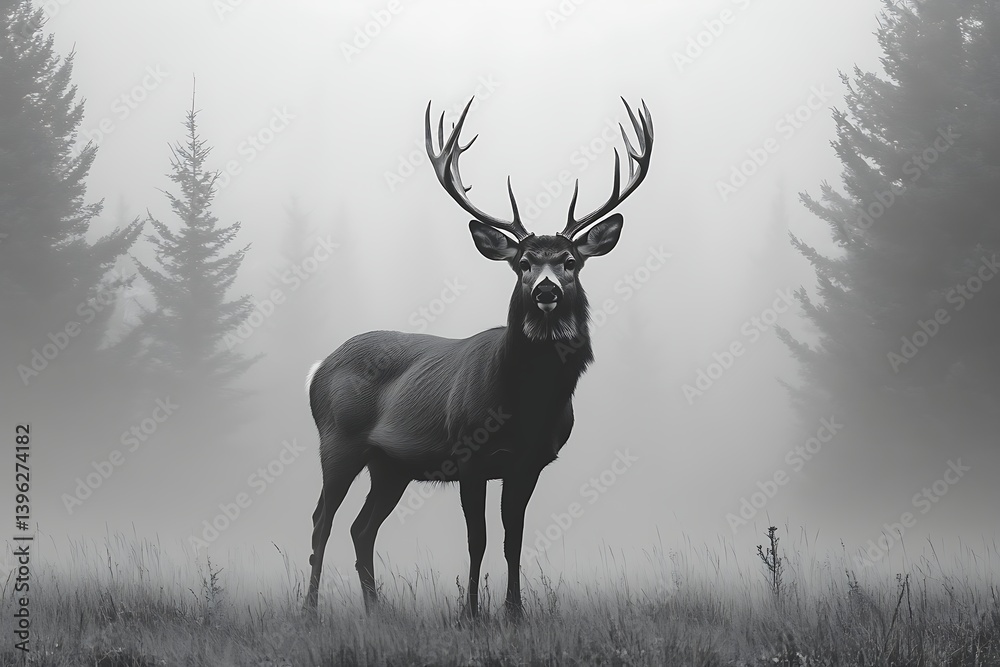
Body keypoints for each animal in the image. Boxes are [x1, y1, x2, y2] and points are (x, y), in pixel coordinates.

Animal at [303, 96, 653, 618]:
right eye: (523, 263)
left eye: (570, 261)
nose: (546, 291)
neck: (526, 405)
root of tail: (317, 370)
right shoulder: (467, 454)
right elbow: (478, 540)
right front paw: (470, 613)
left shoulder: (529, 463)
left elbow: (513, 540)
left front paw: (515, 613)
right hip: (338, 440)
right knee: (322, 520)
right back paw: (309, 611)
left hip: (390, 465)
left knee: (361, 527)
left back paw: (376, 612)